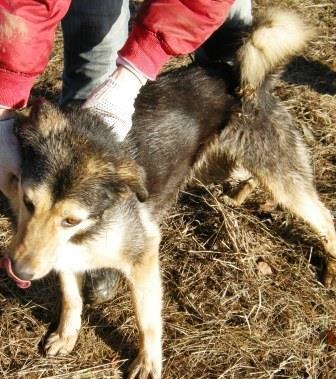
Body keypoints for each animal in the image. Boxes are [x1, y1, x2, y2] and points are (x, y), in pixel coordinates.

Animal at [1, 8, 334, 379]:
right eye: (28, 202)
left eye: (71, 220)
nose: (20, 272)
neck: (93, 226)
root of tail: (243, 79)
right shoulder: (66, 254)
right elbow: (72, 298)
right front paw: (66, 335)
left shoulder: (144, 254)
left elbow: (146, 318)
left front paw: (148, 362)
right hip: (216, 165)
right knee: (247, 175)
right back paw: (238, 195)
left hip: (280, 175)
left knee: (323, 216)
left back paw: (330, 268)